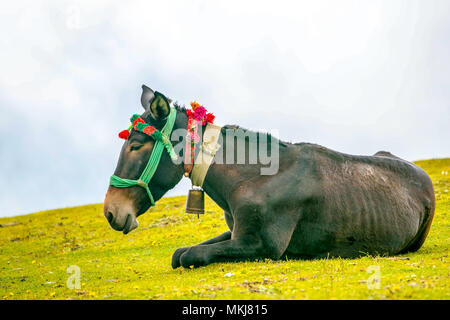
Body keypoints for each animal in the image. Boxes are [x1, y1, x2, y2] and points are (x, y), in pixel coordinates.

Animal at [103, 85, 436, 268]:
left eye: (135, 145)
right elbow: (180, 253)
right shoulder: (237, 233)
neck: (250, 178)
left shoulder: (261, 244)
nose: (110, 212)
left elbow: (189, 256)